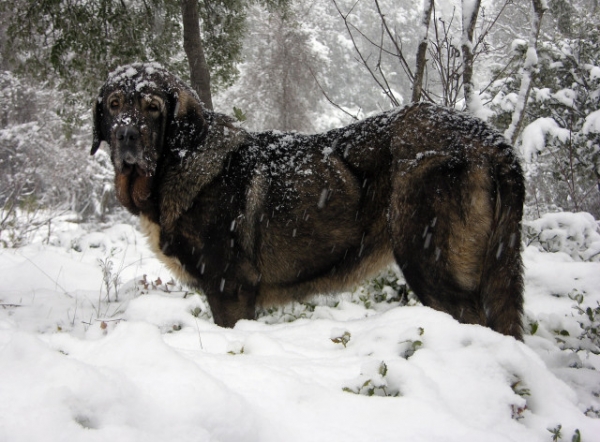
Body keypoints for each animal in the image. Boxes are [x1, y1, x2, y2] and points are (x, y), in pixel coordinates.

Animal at [90, 63, 524, 338]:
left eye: (152, 107)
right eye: (114, 105)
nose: (127, 136)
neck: (180, 160)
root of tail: (490, 138)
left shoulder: (229, 287)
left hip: (429, 259)